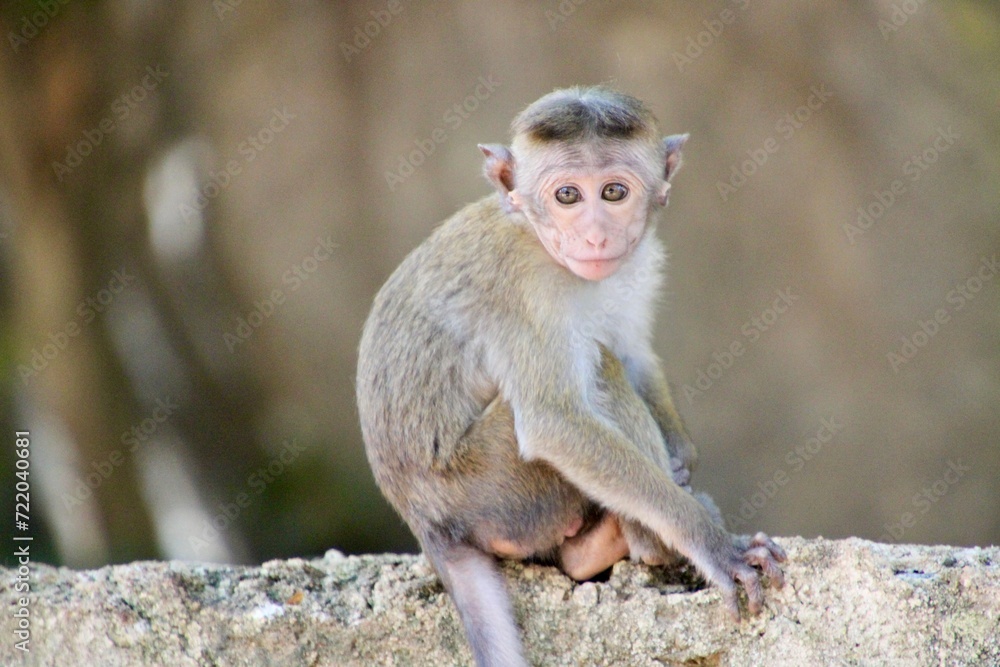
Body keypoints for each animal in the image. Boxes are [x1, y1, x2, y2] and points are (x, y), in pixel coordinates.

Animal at [357, 86, 785, 667]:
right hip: (492, 487)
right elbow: (554, 422)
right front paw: (713, 543)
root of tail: (426, 522)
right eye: (566, 196)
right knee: (595, 369)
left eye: (613, 192)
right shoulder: (525, 290)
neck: (535, 236)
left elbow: (632, 350)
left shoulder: (639, 259)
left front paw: (682, 458)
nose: (595, 234)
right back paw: (648, 544)